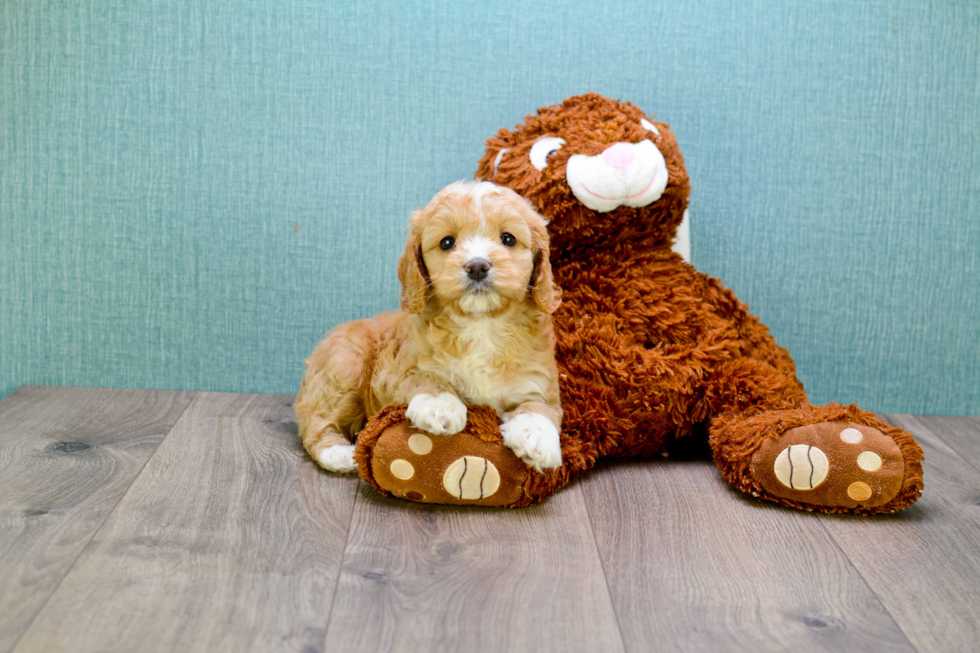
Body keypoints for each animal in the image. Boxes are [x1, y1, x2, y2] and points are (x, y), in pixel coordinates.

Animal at [294, 181, 564, 476]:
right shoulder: (395, 370)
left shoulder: (539, 378)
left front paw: (536, 437)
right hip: (344, 365)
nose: (477, 266)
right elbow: (424, 377)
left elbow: (540, 407)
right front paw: (440, 405)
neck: (481, 323)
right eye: (447, 242)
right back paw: (340, 454)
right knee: (316, 422)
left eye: (508, 239)